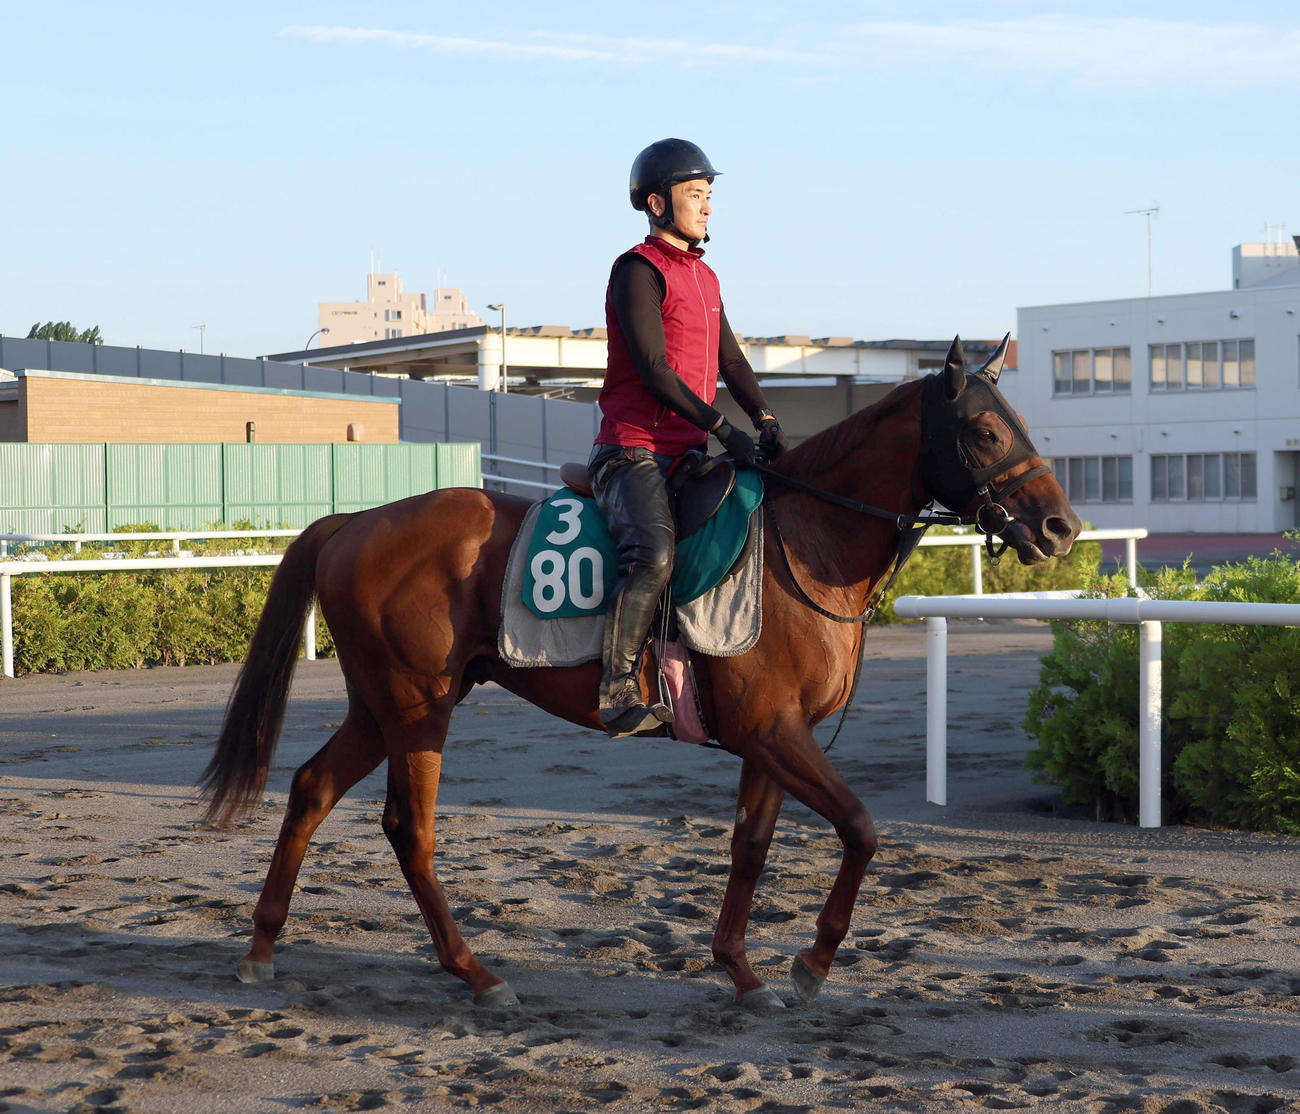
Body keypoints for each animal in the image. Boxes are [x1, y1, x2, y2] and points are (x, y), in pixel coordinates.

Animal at [200, 335, 1081, 1010]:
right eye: (985, 433)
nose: (1060, 527)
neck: (806, 544)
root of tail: (354, 521)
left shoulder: (769, 736)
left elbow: (750, 847)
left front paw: (742, 971)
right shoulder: (774, 729)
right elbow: (861, 829)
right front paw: (812, 962)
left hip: (380, 705)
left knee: (313, 787)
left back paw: (263, 945)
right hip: (419, 706)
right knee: (407, 829)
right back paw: (476, 974)